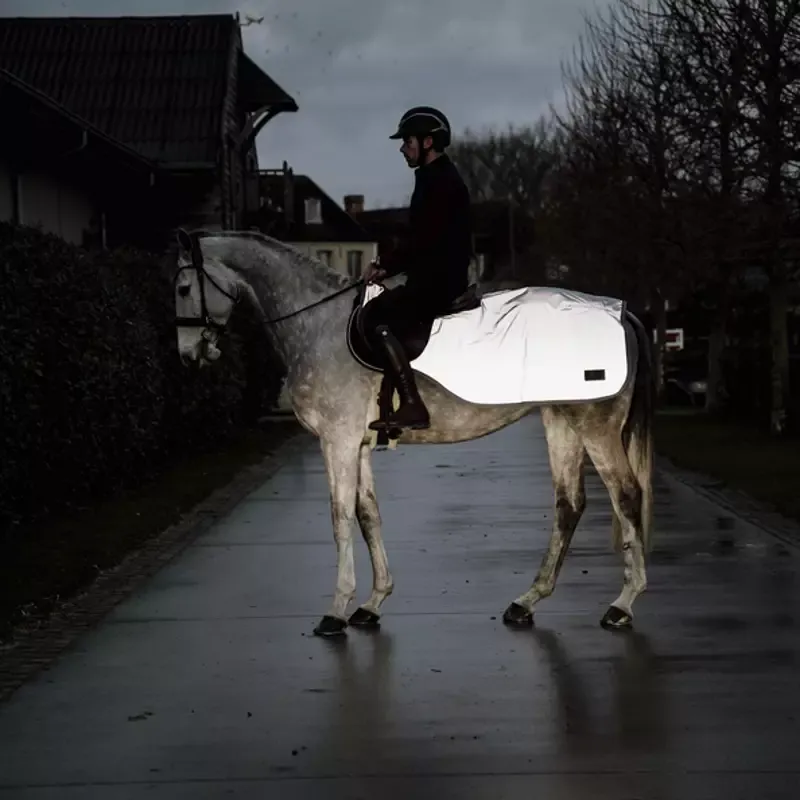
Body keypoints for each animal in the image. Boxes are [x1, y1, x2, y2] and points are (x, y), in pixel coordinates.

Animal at [172, 228, 654, 638]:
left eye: (182, 289)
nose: (188, 354)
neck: (319, 327)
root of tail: (623, 314)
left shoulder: (337, 441)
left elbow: (339, 517)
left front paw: (336, 611)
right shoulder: (357, 445)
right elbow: (367, 514)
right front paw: (371, 603)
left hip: (595, 426)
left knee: (626, 495)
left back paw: (622, 605)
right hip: (561, 421)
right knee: (569, 504)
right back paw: (527, 601)